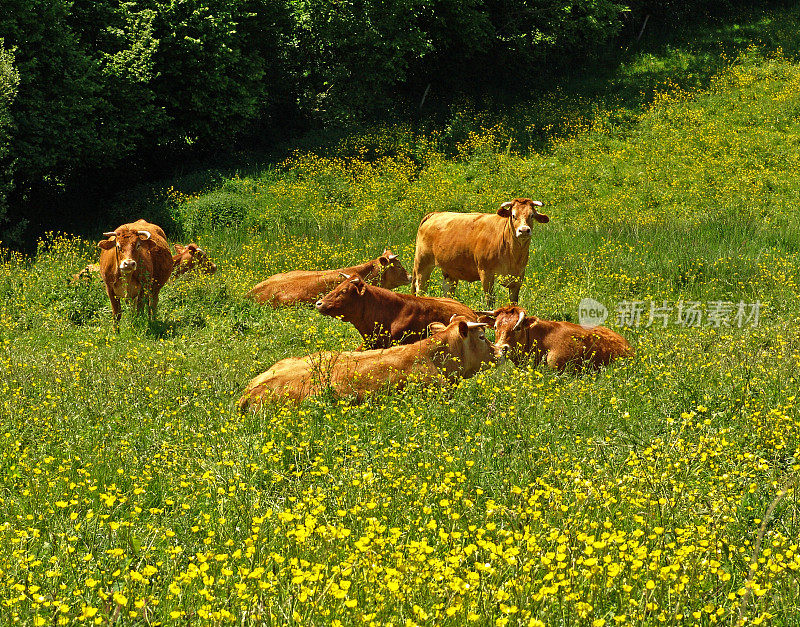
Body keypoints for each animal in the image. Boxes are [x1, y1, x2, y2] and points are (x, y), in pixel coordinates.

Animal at [412, 199, 552, 306]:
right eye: (513, 215)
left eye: (532, 215)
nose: (523, 230)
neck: (513, 254)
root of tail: (435, 214)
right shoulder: (486, 273)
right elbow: (490, 300)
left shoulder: (519, 276)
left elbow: (514, 301)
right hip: (422, 263)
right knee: (421, 288)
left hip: (449, 269)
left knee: (448, 290)